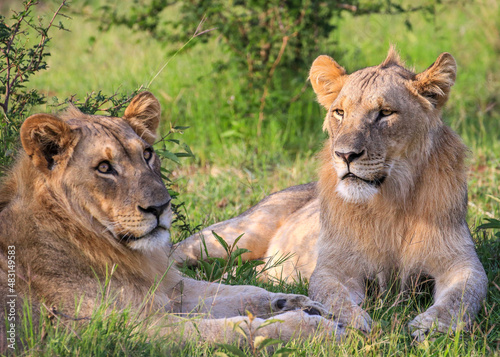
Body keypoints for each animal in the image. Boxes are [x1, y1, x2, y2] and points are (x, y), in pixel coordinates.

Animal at [0, 90, 344, 352]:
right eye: (104, 168)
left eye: (147, 153)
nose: (160, 207)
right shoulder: (127, 329)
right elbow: (236, 329)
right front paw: (315, 327)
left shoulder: (169, 287)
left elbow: (243, 291)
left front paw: (300, 303)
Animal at [173, 48, 488, 340]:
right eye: (340, 112)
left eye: (385, 113)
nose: (345, 155)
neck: (391, 200)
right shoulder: (334, 265)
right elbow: (331, 294)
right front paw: (350, 322)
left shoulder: (460, 261)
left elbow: (464, 295)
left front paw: (432, 327)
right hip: (237, 234)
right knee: (178, 253)